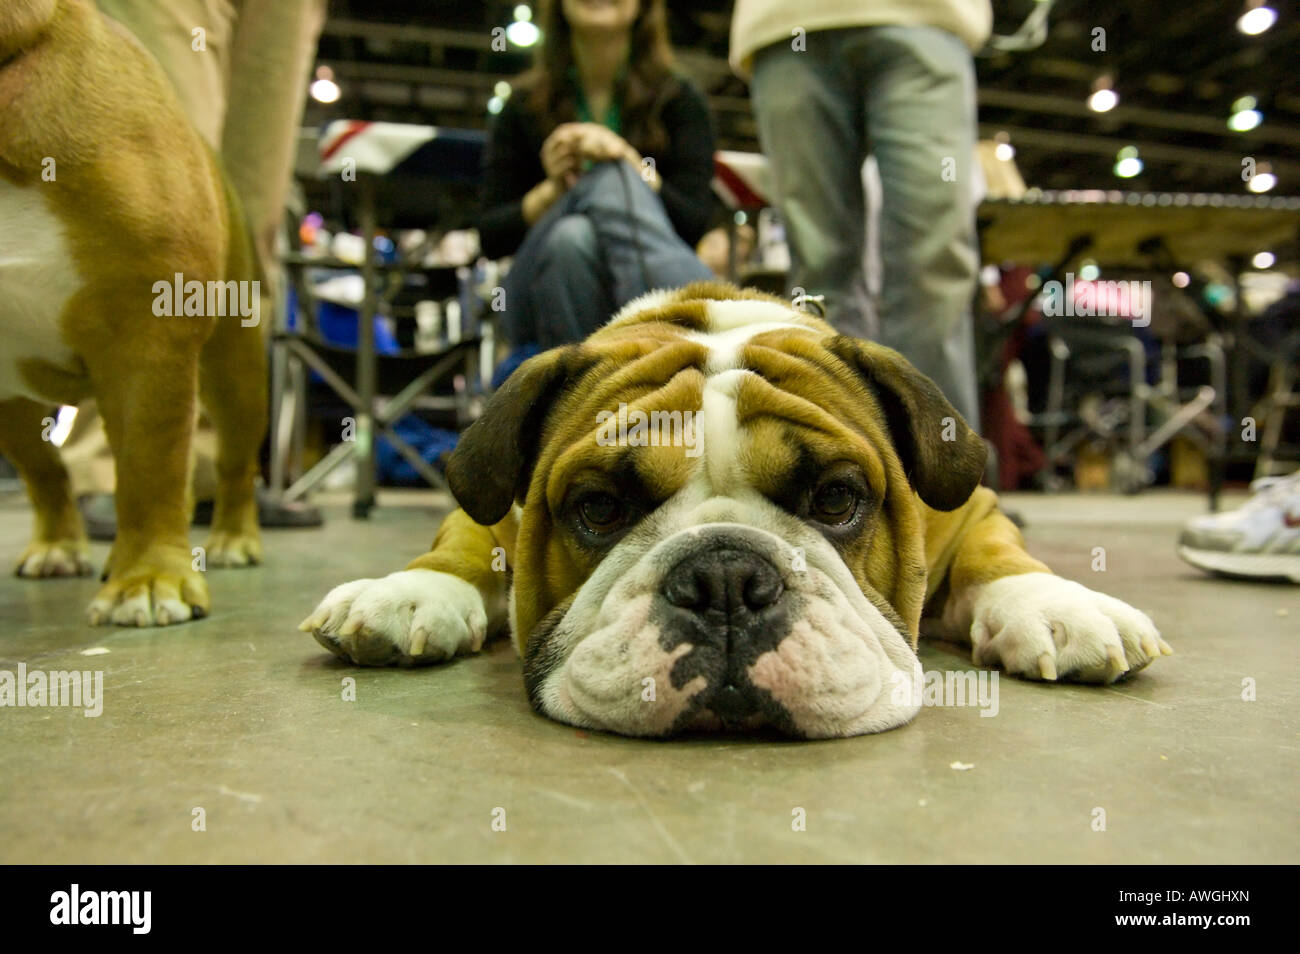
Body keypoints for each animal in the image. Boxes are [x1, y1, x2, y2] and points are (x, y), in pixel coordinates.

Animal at [0, 0, 266, 629]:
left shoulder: (148, 331)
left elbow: (150, 466)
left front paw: (149, 577)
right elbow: (58, 468)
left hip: (235, 369)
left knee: (234, 460)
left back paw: (232, 538)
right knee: (48, 468)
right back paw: (62, 546)